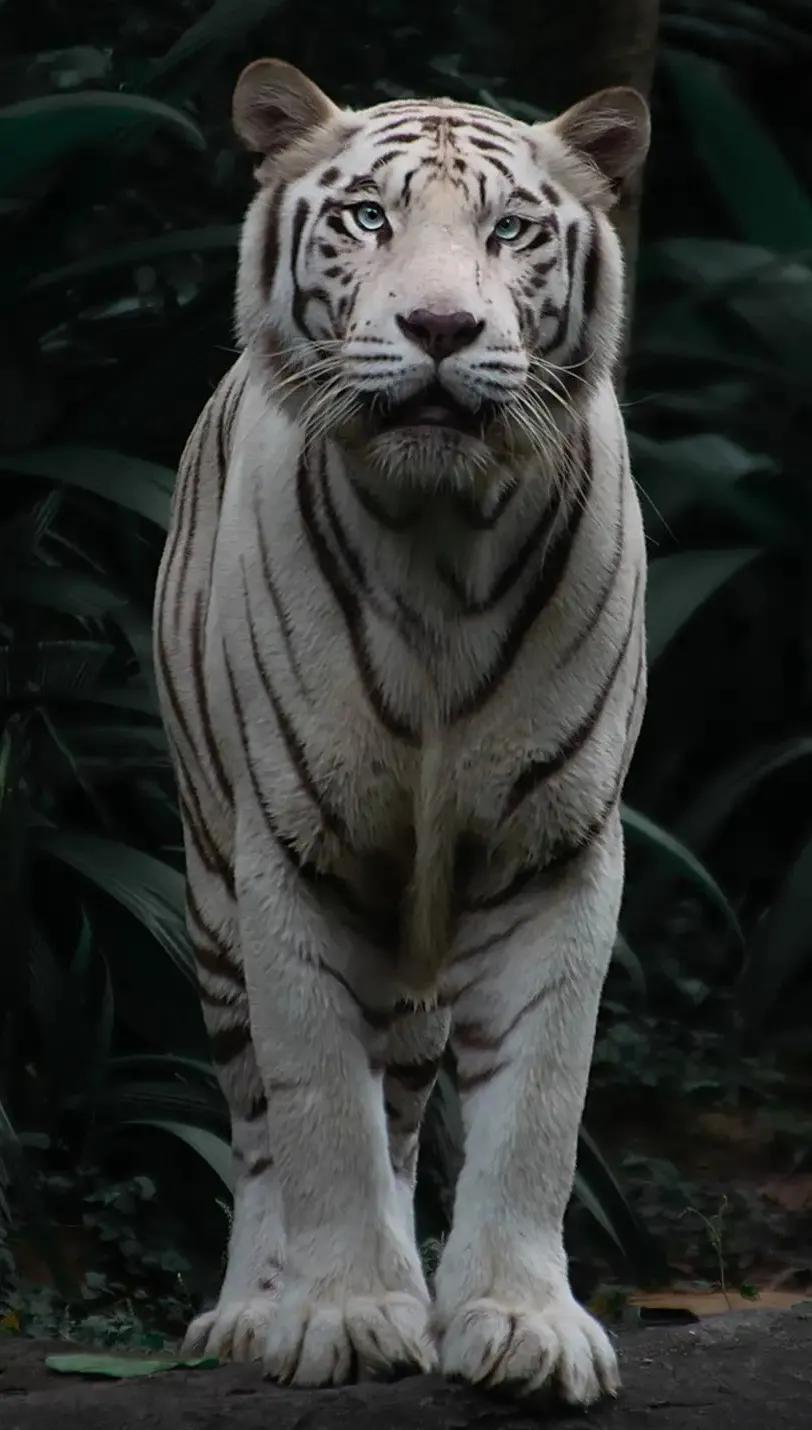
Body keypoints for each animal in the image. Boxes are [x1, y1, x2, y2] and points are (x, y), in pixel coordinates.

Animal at [153, 57, 650, 1404]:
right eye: (368, 217)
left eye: (511, 229)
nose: (438, 329)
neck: (438, 539)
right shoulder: (290, 848)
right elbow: (318, 1102)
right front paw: (341, 1311)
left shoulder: (552, 847)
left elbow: (536, 1104)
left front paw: (520, 1321)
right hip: (210, 891)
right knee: (258, 1119)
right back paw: (251, 1308)